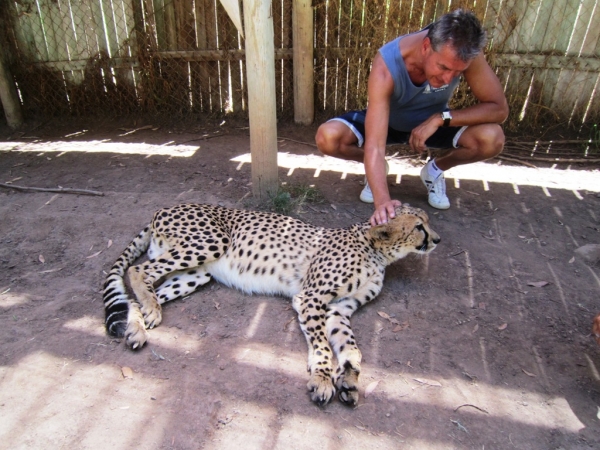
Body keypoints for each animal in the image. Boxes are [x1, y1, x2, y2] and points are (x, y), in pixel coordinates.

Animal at [103, 204, 438, 408]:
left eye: (427, 223)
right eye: (419, 226)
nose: (437, 239)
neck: (376, 251)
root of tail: (163, 208)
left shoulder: (339, 309)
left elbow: (351, 348)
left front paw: (349, 379)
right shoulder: (310, 297)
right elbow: (323, 346)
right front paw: (322, 379)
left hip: (197, 273)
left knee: (148, 290)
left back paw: (138, 325)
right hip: (212, 241)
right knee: (138, 271)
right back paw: (146, 313)